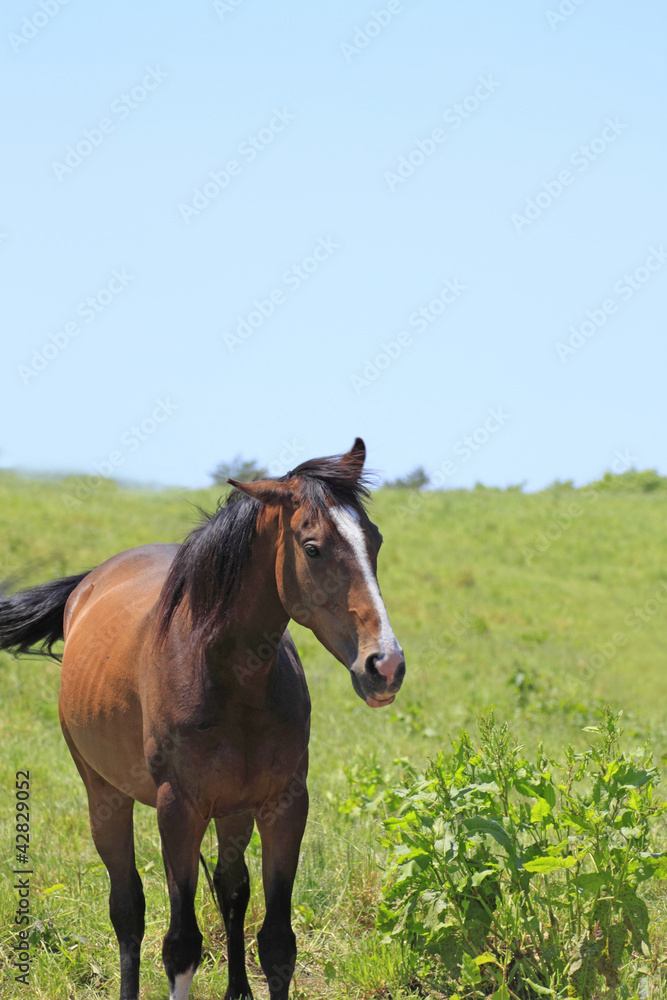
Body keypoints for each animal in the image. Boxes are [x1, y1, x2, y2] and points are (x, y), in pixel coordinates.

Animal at [0, 440, 404, 1000]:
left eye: (376, 540)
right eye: (313, 547)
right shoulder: (179, 809)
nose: (385, 665)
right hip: (106, 796)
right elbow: (181, 946)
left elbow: (277, 944)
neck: (232, 680)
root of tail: (87, 585)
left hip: (232, 810)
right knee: (128, 910)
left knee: (231, 890)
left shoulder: (283, 804)